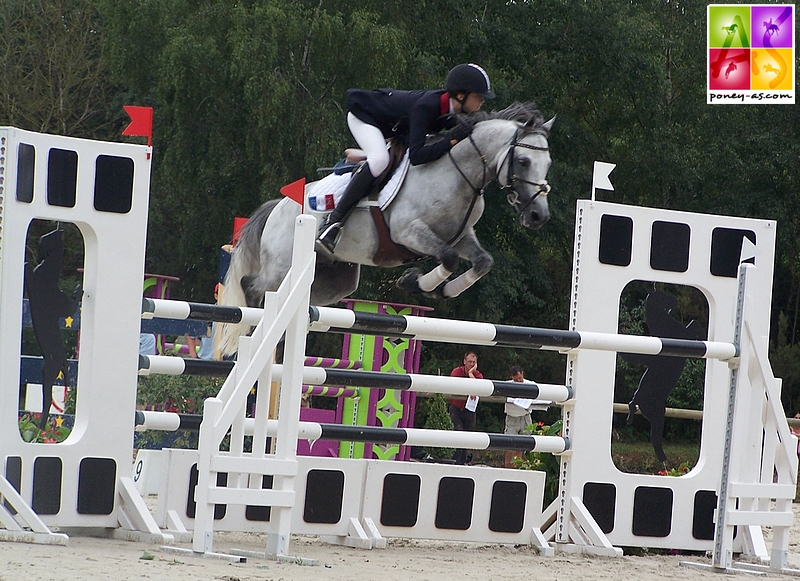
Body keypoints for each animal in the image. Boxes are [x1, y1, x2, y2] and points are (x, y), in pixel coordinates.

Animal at [222, 101, 552, 352]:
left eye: (547, 164)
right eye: (523, 161)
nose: (539, 216)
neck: (458, 173)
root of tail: (278, 206)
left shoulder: (461, 237)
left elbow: (482, 262)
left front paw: (439, 290)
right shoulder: (408, 232)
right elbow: (448, 259)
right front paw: (415, 282)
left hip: (333, 281)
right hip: (281, 267)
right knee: (251, 285)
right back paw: (251, 331)